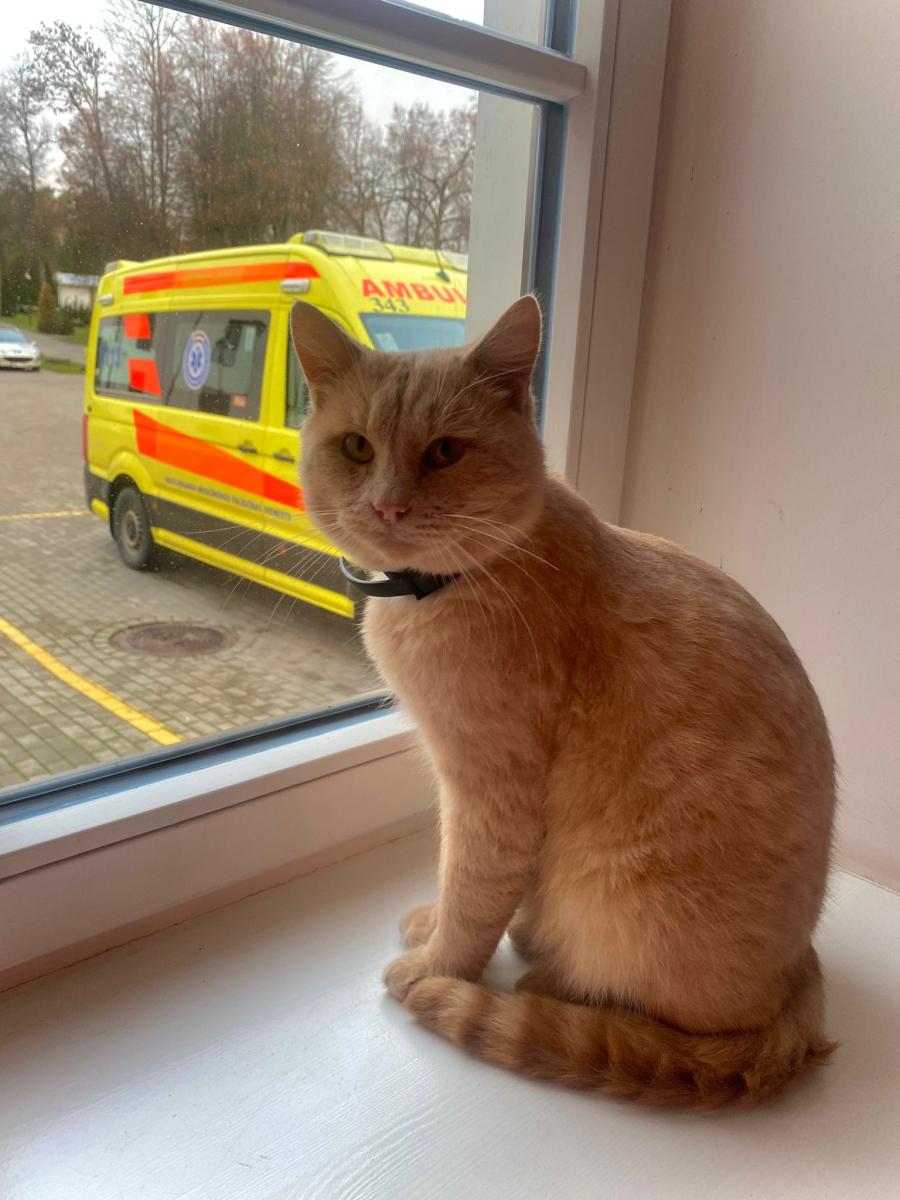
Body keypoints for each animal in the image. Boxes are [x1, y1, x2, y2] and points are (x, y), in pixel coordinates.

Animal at [290, 294, 836, 1107]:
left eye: (445, 452)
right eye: (357, 448)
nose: (387, 508)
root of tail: (799, 982)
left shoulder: (490, 791)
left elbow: (470, 891)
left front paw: (437, 967)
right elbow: (460, 883)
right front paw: (435, 929)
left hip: (628, 904)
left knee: (671, 1024)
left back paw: (549, 982)